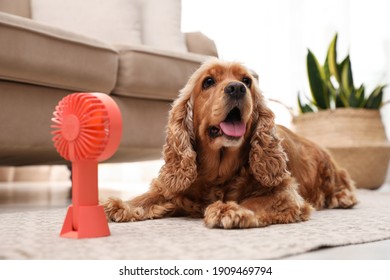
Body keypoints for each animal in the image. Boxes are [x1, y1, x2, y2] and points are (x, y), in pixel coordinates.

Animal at [103, 58, 356, 229]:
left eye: (247, 81)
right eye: (208, 82)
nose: (236, 88)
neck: (218, 171)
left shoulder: (286, 193)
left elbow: (257, 201)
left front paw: (230, 209)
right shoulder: (173, 188)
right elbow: (149, 197)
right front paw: (119, 205)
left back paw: (342, 197)